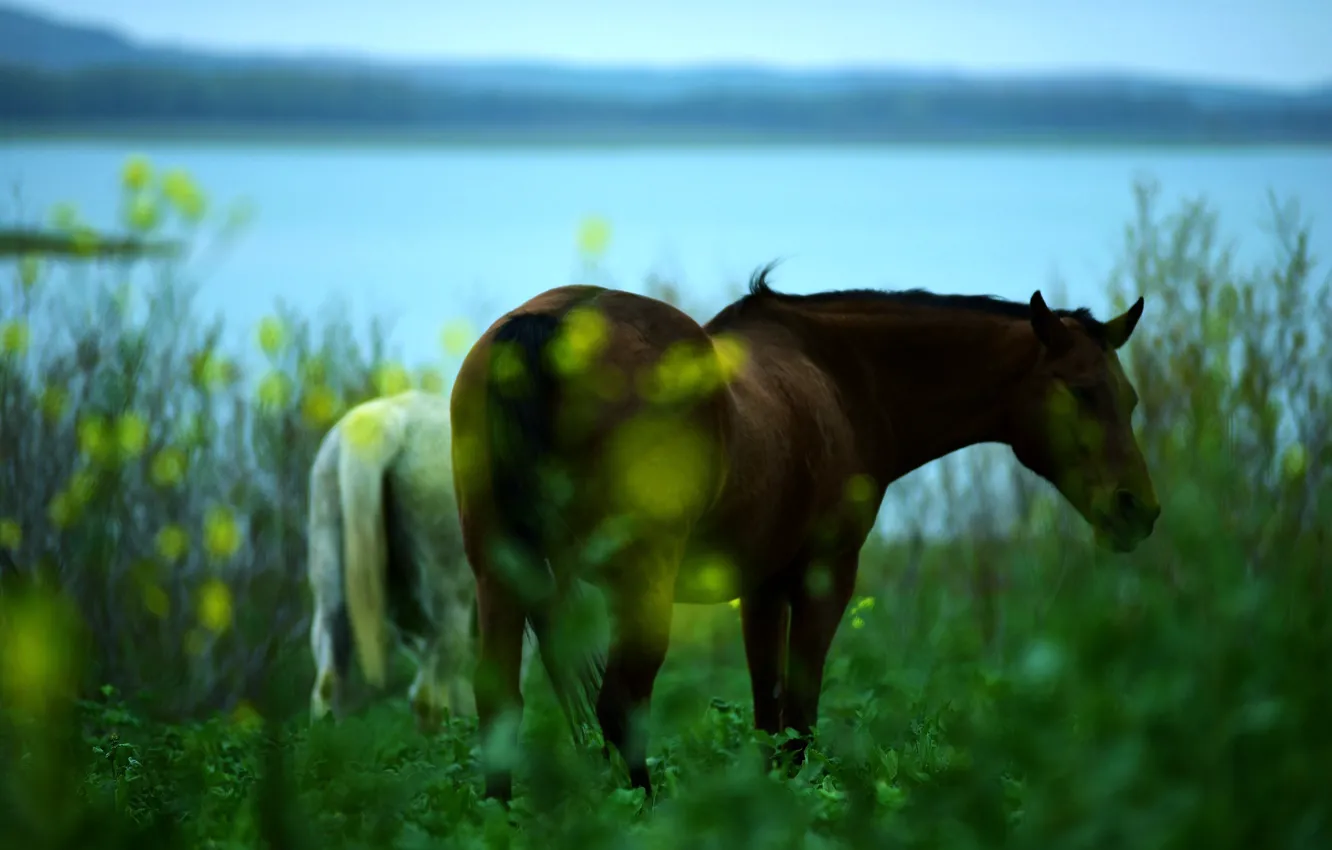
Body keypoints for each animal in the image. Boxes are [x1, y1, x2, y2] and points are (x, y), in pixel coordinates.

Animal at [449, 267, 1159, 804]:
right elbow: (800, 712)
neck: (842, 377)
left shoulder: (761, 587)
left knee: (499, 699)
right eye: (1082, 393)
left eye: (1128, 399)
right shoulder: (825, 574)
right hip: (639, 585)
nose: (1140, 511)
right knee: (622, 704)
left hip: (497, 574)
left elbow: (768, 711)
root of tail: (545, 325)